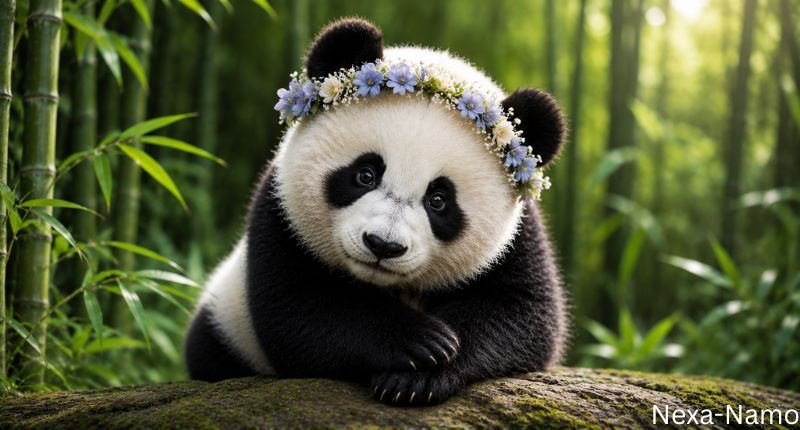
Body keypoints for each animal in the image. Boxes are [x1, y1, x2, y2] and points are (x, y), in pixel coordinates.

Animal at [185, 17, 568, 406]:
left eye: (439, 200)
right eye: (365, 175)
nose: (383, 245)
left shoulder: (519, 239)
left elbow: (523, 313)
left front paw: (420, 376)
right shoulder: (280, 212)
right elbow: (298, 308)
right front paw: (420, 343)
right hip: (226, 324)